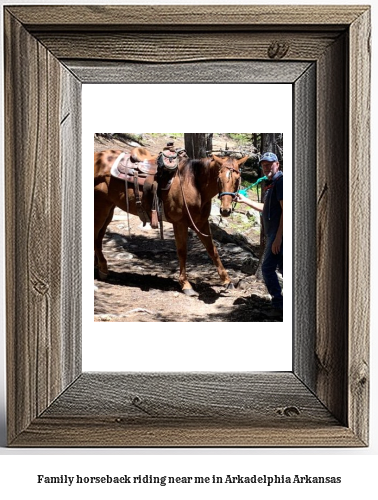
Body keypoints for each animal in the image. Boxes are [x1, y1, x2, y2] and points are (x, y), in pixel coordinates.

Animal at [94, 148, 248, 296]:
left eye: (237, 179)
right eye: (219, 178)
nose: (225, 210)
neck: (194, 184)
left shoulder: (201, 223)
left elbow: (212, 250)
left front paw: (227, 281)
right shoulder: (180, 223)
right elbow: (182, 251)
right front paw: (186, 285)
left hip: (109, 209)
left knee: (99, 237)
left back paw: (101, 268)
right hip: (101, 208)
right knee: (96, 236)